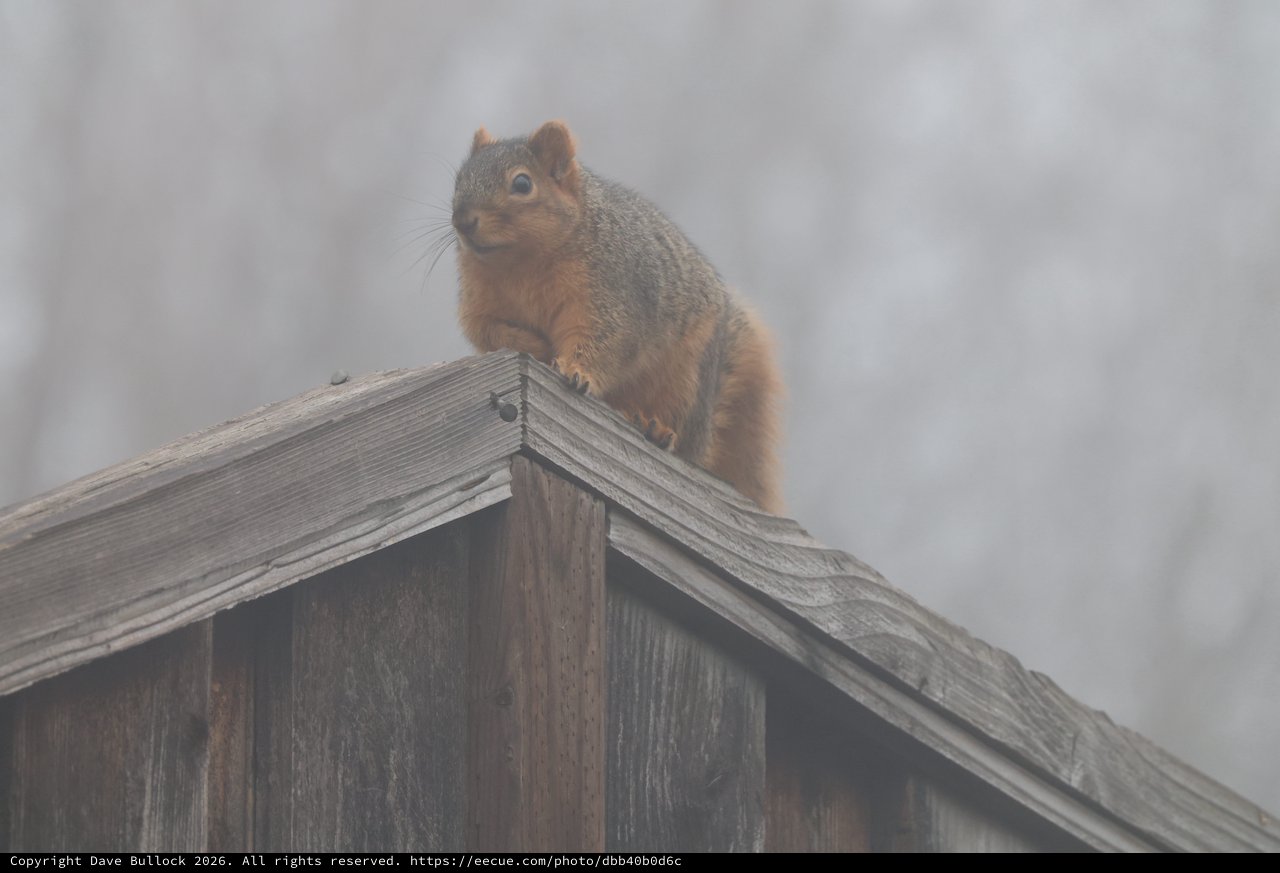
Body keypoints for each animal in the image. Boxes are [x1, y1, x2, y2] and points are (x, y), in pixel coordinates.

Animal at [451, 120, 783, 514]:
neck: (518, 264)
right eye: (458, 179)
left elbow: (606, 339)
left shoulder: (611, 293)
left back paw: (658, 428)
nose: (462, 221)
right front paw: (535, 345)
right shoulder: (479, 306)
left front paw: (576, 371)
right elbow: (488, 333)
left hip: (686, 379)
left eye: (521, 183)